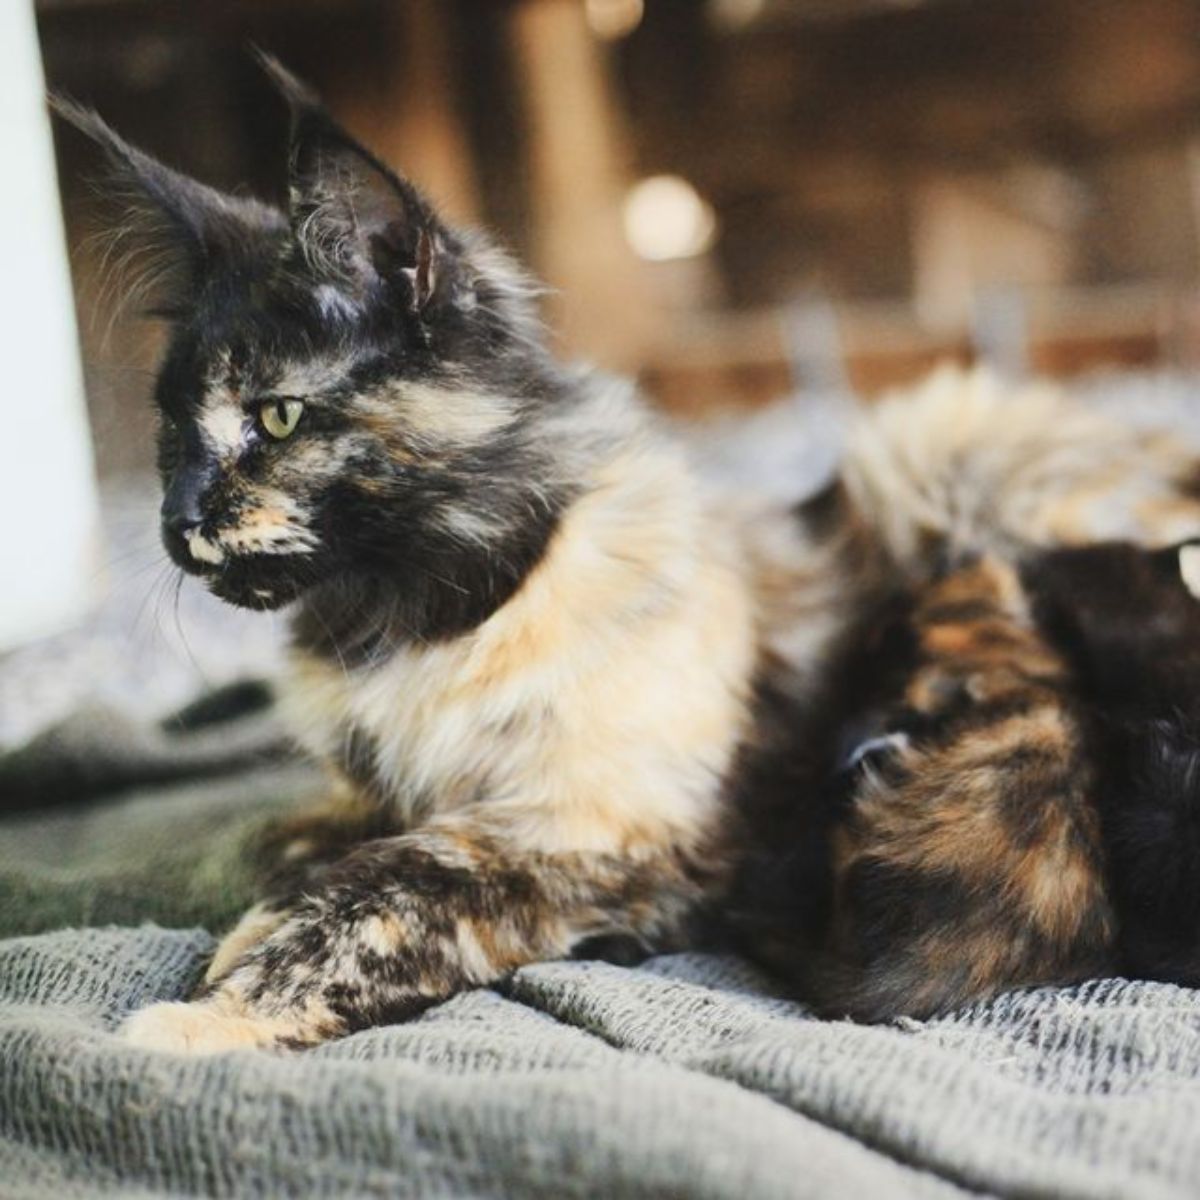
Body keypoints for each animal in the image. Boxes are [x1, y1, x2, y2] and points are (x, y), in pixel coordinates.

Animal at [56, 58, 1200, 1051]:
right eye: (169, 433)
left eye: (278, 416)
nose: (175, 519)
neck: (412, 617)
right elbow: (286, 841)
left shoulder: (603, 828)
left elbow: (391, 887)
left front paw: (204, 1021)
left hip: (934, 444)